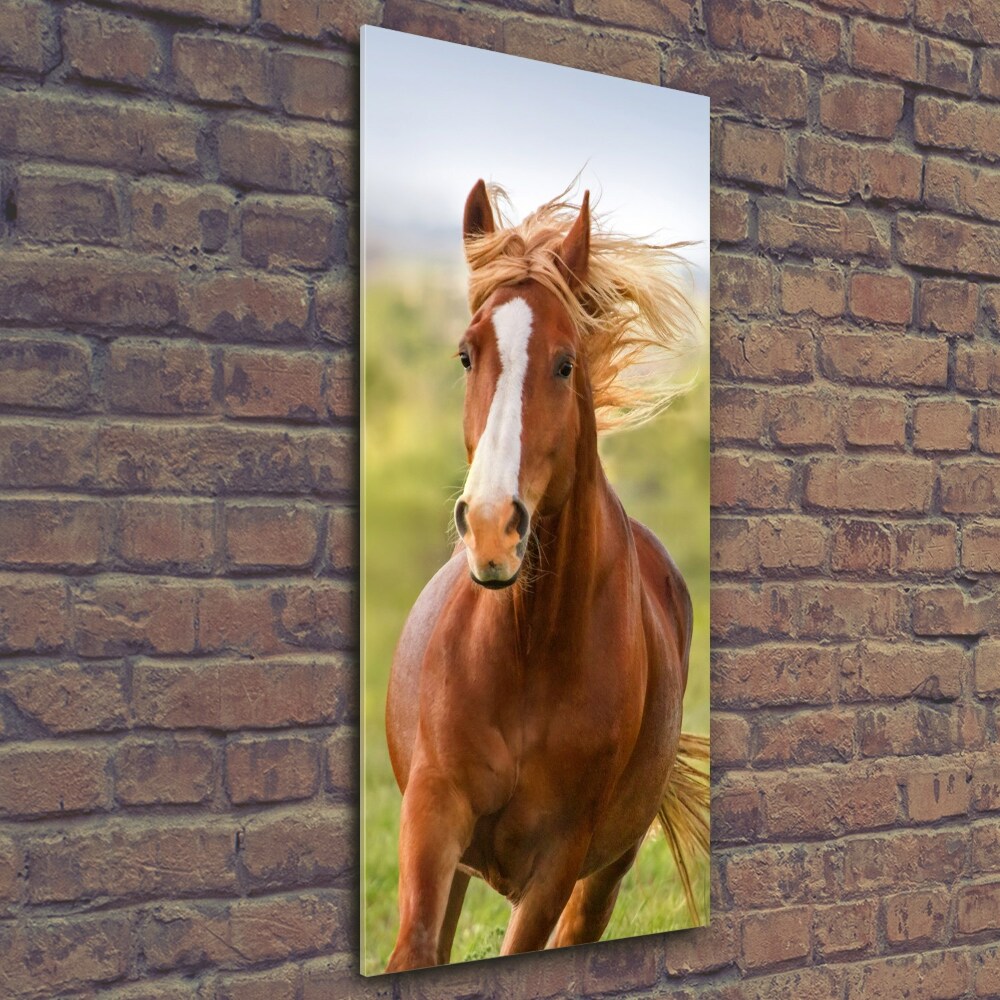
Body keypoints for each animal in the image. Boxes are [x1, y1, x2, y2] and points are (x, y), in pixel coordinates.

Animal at [384, 180, 712, 968]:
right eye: (466, 355)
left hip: (605, 874)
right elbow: (415, 950)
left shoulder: (558, 863)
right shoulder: (432, 817)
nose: (492, 529)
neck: (528, 652)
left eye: (565, 363)